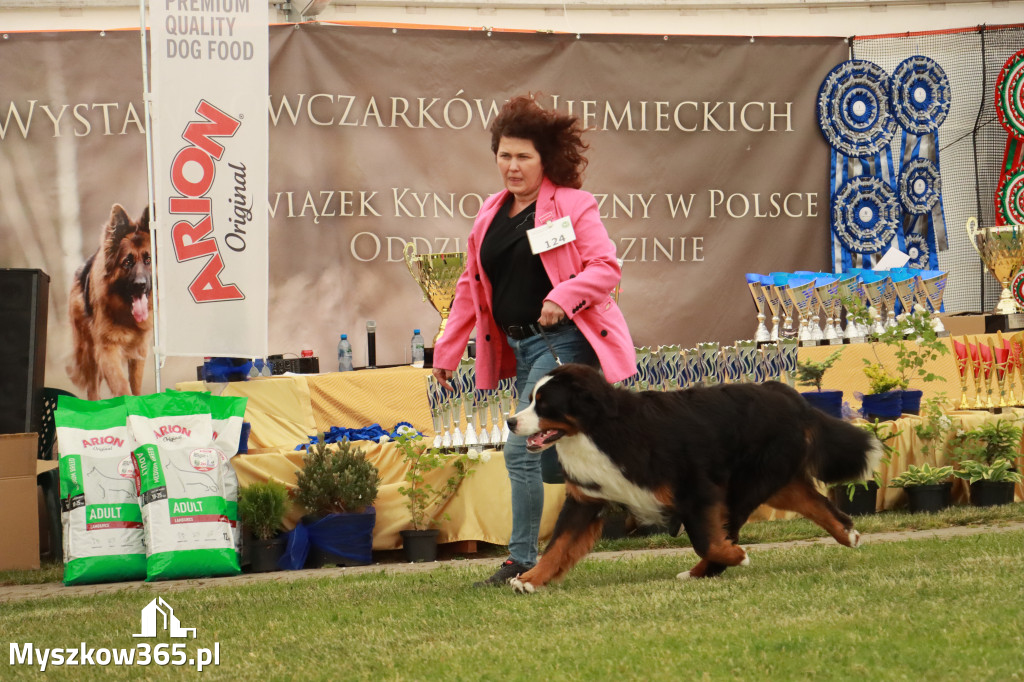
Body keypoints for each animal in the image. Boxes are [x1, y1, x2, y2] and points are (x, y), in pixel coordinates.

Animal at [507, 360, 884, 589]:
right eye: (531, 399)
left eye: (544, 403)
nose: (510, 422)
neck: (599, 432)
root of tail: (786, 394)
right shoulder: (587, 499)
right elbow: (558, 545)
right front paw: (529, 579)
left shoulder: (697, 489)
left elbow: (707, 540)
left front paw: (737, 556)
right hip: (772, 481)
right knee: (816, 502)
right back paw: (848, 533)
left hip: (744, 485)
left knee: (729, 531)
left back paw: (703, 570)